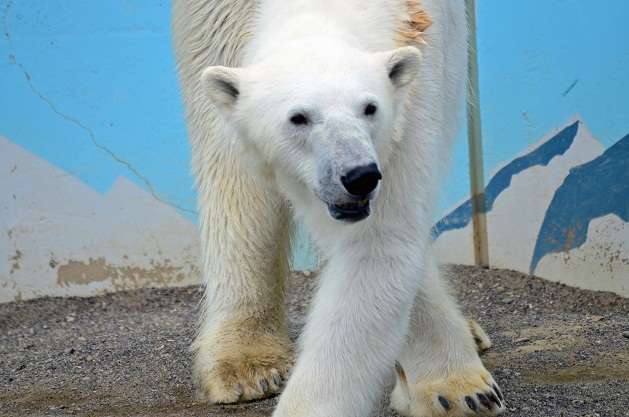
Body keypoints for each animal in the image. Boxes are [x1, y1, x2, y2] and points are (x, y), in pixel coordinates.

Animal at [172, 0, 506, 416]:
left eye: (370, 108)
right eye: (298, 117)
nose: (360, 177)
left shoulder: (412, 87)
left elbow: (378, 244)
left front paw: (458, 389)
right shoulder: (214, 25)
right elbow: (235, 169)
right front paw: (246, 365)